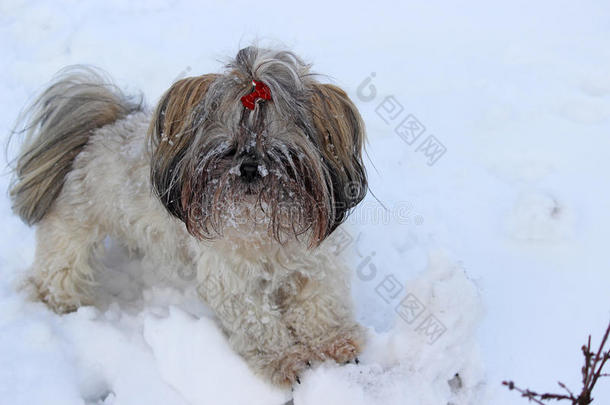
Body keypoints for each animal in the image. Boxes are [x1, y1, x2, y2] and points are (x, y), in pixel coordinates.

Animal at [8, 47, 366, 386]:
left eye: (278, 151)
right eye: (227, 149)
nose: (250, 169)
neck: (262, 226)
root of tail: (99, 131)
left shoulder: (317, 264)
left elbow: (320, 305)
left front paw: (335, 341)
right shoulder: (231, 281)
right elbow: (259, 323)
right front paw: (285, 361)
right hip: (71, 233)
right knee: (58, 272)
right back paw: (61, 303)